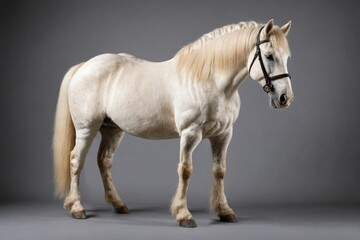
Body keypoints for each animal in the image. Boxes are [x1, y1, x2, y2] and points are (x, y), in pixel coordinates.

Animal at [54, 19, 296, 228]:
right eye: (269, 55)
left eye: (287, 56)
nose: (285, 98)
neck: (210, 81)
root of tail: (84, 66)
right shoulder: (190, 133)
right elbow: (186, 170)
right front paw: (183, 215)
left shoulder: (223, 135)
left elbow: (219, 171)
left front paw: (224, 211)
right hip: (87, 128)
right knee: (76, 160)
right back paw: (77, 208)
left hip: (112, 130)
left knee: (104, 161)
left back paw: (118, 204)